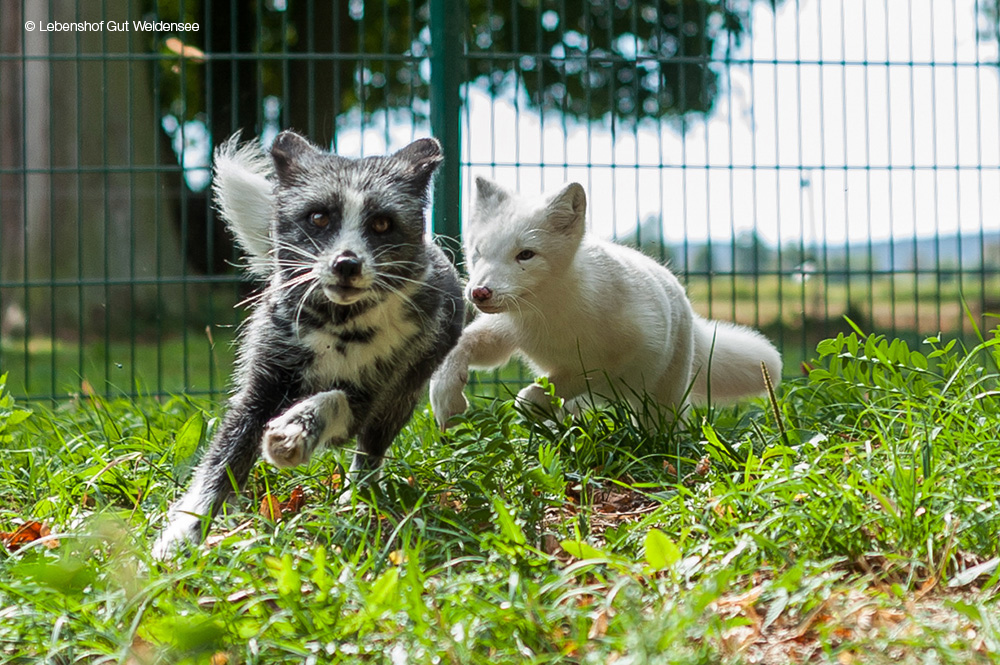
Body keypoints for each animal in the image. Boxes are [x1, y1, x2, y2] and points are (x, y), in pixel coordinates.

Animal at [153, 132, 464, 556]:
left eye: (382, 223)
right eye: (319, 218)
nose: (347, 264)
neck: (339, 328)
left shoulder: (365, 399)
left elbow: (331, 400)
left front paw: (293, 433)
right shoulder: (259, 392)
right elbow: (220, 464)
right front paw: (180, 538)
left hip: (399, 401)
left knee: (370, 455)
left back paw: (356, 503)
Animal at [430, 175, 780, 426]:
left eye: (525, 255)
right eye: (478, 252)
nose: (479, 292)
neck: (550, 315)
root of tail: (689, 313)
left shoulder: (625, 353)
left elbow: (571, 377)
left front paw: (532, 402)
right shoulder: (507, 330)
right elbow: (461, 345)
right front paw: (446, 400)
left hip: (662, 400)